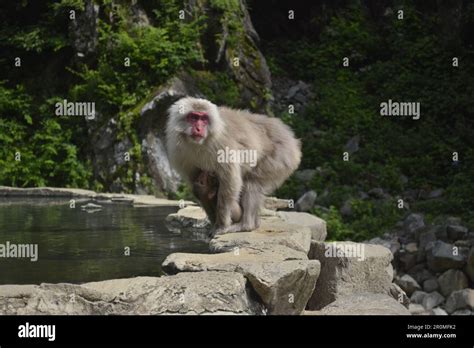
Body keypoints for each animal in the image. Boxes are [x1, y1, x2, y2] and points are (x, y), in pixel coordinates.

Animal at [167, 96, 300, 235]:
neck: (200, 143)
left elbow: (230, 181)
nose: (198, 128)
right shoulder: (181, 155)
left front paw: (221, 225)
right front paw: (212, 221)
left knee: (252, 182)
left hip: (281, 156)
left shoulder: (222, 144)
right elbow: (197, 187)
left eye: (203, 119)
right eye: (193, 117)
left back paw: (247, 225)